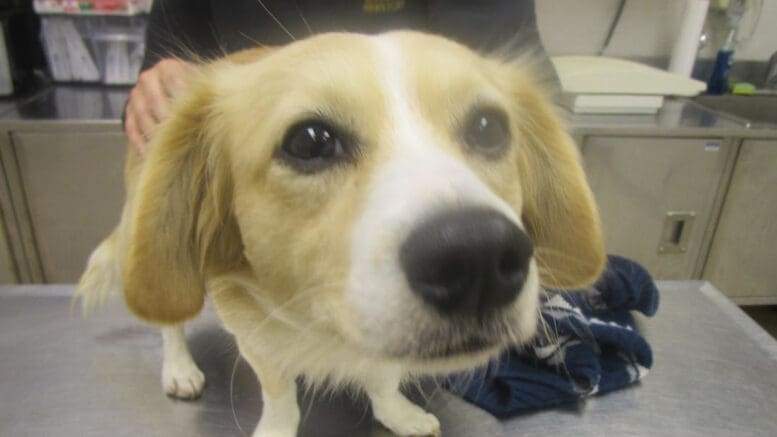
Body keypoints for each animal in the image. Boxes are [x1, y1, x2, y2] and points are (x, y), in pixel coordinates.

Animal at [74, 31, 608, 436]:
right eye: (309, 140)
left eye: (488, 127)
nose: (477, 258)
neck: (326, 325)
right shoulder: (256, 338)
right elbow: (280, 394)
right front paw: (276, 428)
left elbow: (384, 378)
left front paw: (398, 414)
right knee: (169, 322)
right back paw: (179, 368)